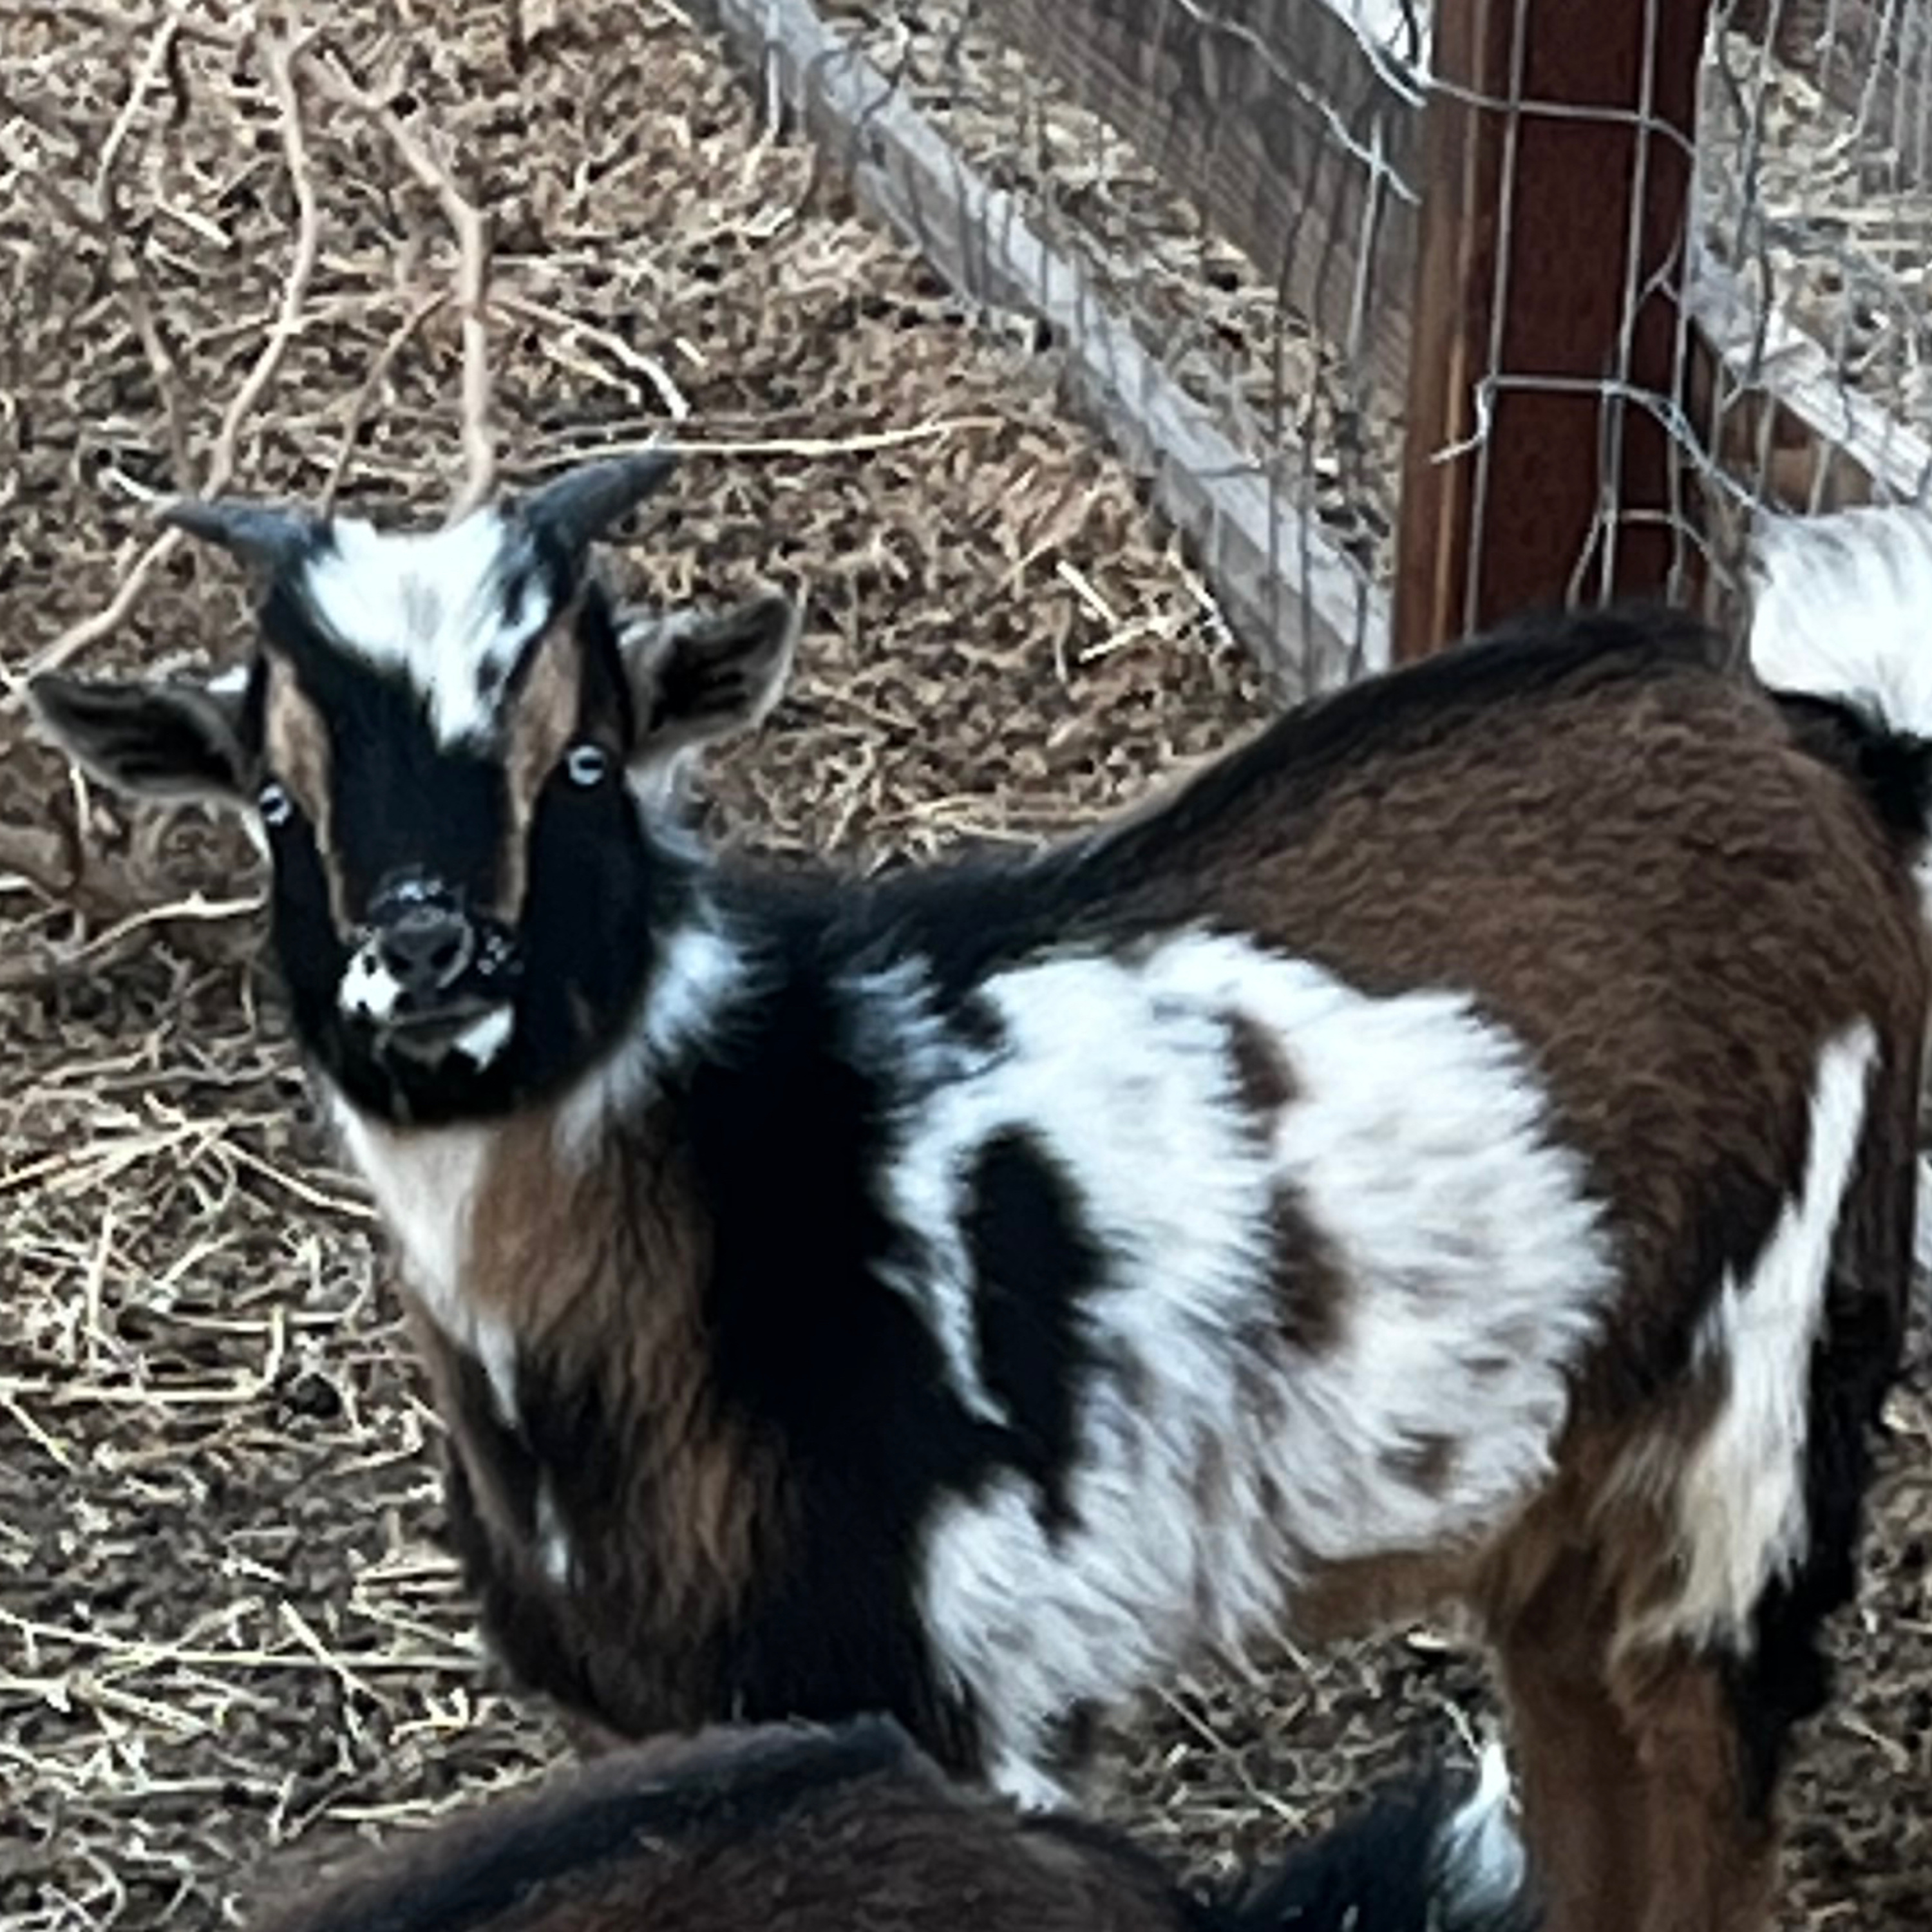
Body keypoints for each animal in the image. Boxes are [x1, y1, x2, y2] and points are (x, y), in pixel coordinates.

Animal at [31, 455, 1932, 1932]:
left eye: (582, 758)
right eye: (277, 800)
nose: (427, 963)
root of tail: (1811, 733)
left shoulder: (973, 1699)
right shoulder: (654, 1724)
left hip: (1750, 1437)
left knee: (1702, 1775)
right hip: (1561, 1495)